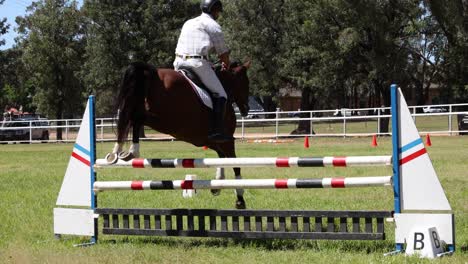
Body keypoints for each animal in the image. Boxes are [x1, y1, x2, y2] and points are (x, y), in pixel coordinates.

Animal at [109, 60, 250, 209]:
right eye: (245, 82)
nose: (246, 109)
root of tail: (151, 72)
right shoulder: (227, 141)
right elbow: (235, 164)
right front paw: (240, 198)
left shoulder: (210, 141)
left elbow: (221, 158)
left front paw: (218, 185)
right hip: (164, 119)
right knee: (135, 118)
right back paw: (132, 151)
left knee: (129, 119)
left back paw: (118, 151)